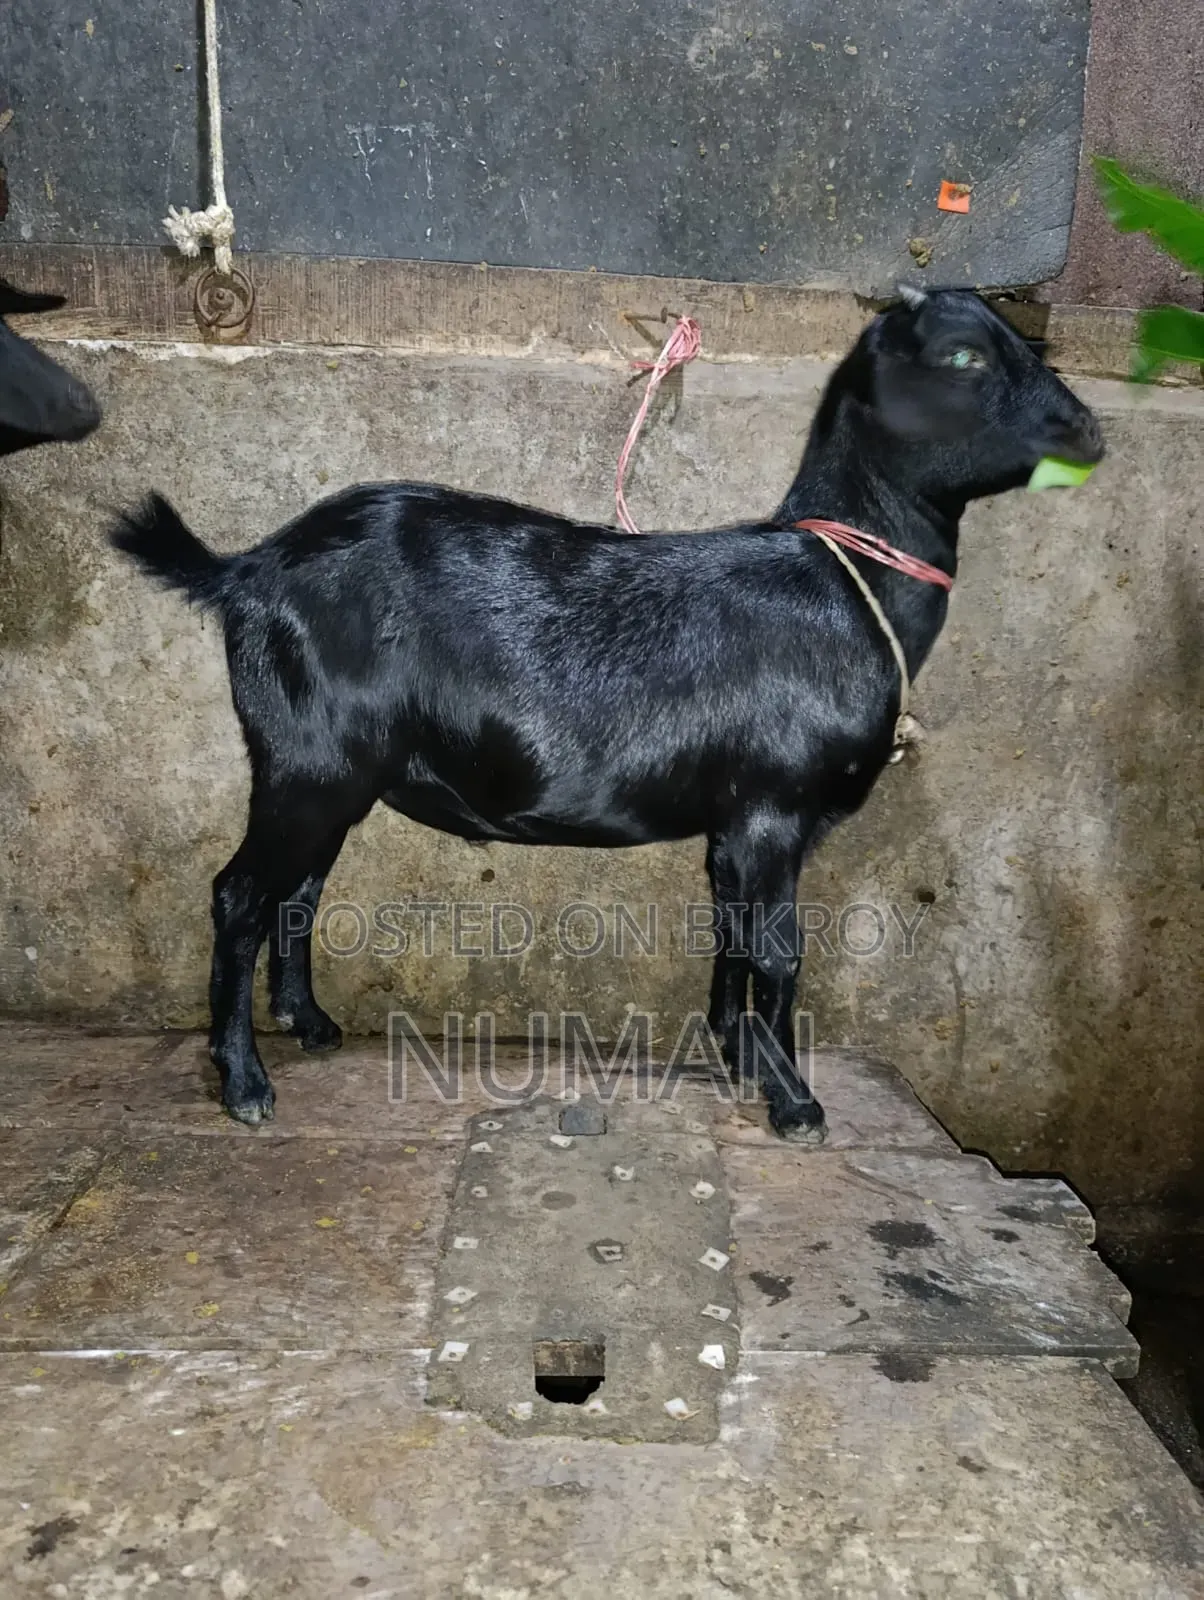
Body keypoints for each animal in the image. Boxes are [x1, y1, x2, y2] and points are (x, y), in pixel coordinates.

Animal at [111, 288, 1103, 1136]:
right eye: (966, 356)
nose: (1088, 431)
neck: (844, 583)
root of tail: (246, 569)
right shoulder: (775, 807)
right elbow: (780, 952)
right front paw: (795, 1101)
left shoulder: (738, 821)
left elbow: (733, 935)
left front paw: (740, 1054)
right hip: (306, 762)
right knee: (241, 895)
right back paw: (245, 1083)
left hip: (333, 772)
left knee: (301, 889)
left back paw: (310, 1023)